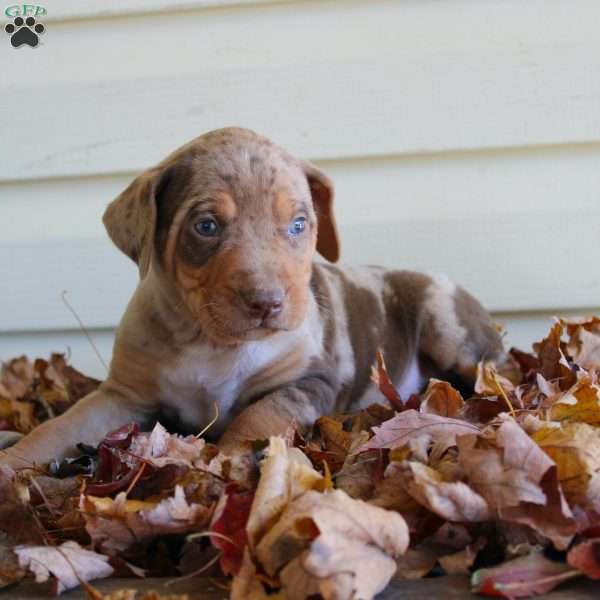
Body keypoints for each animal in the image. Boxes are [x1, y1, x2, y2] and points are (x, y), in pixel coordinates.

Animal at [2, 127, 508, 468]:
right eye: (206, 226)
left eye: (299, 224)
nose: (267, 303)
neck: (209, 341)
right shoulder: (125, 396)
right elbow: (62, 426)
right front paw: (13, 463)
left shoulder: (309, 381)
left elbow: (257, 418)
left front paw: (224, 463)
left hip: (446, 319)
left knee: (495, 371)